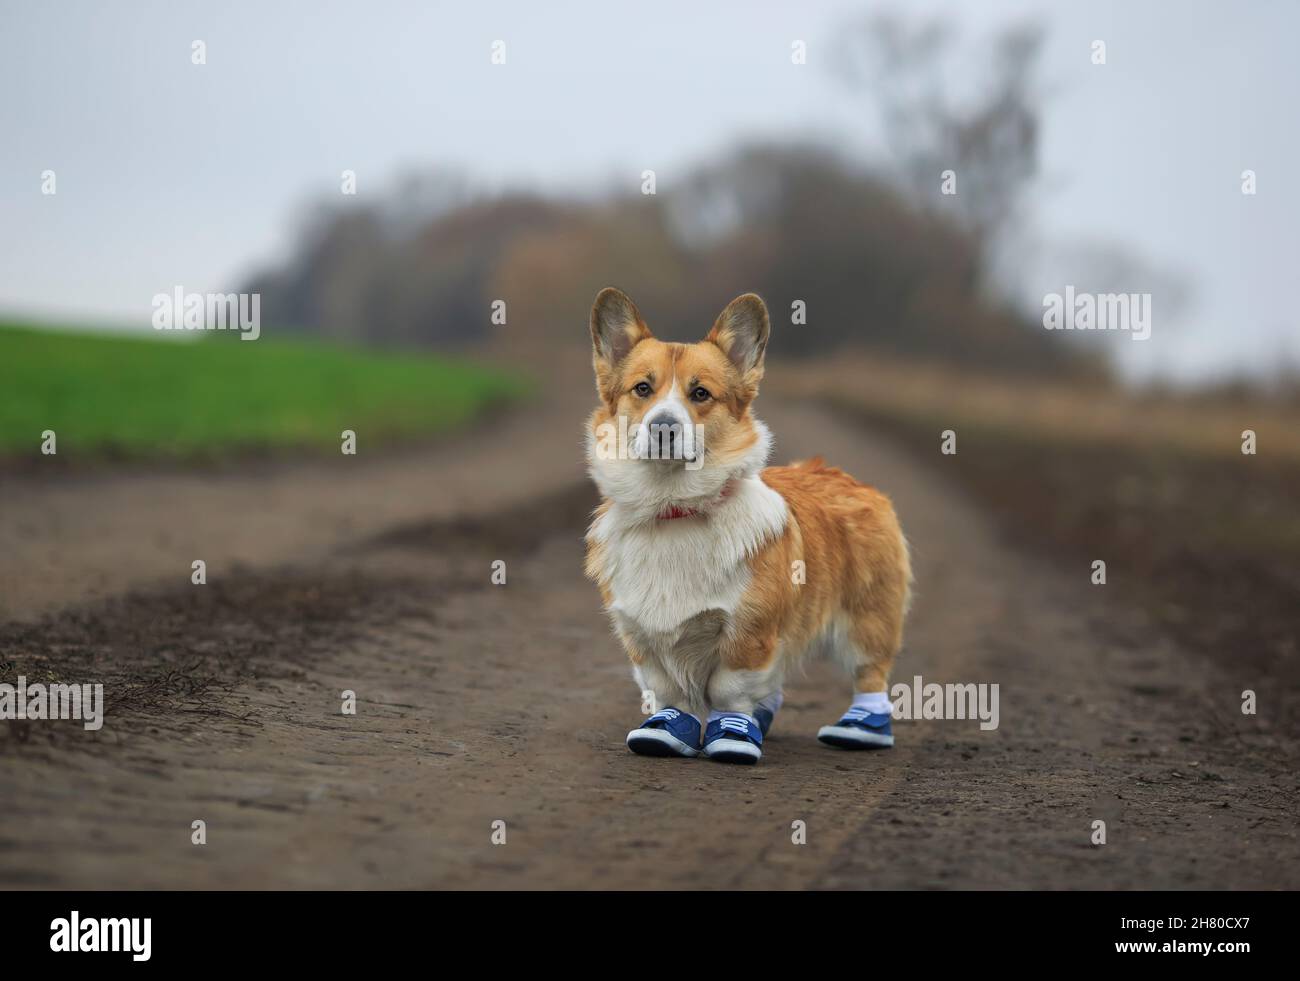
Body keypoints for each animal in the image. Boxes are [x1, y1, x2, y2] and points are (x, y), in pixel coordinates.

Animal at [585, 287, 909, 764]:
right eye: (642, 388)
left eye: (700, 393)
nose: (663, 426)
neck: (674, 508)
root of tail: (844, 475)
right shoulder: (642, 637)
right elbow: (670, 693)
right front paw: (666, 730)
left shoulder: (749, 633)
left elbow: (729, 689)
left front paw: (734, 736)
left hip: (867, 620)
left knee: (870, 674)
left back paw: (858, 729)